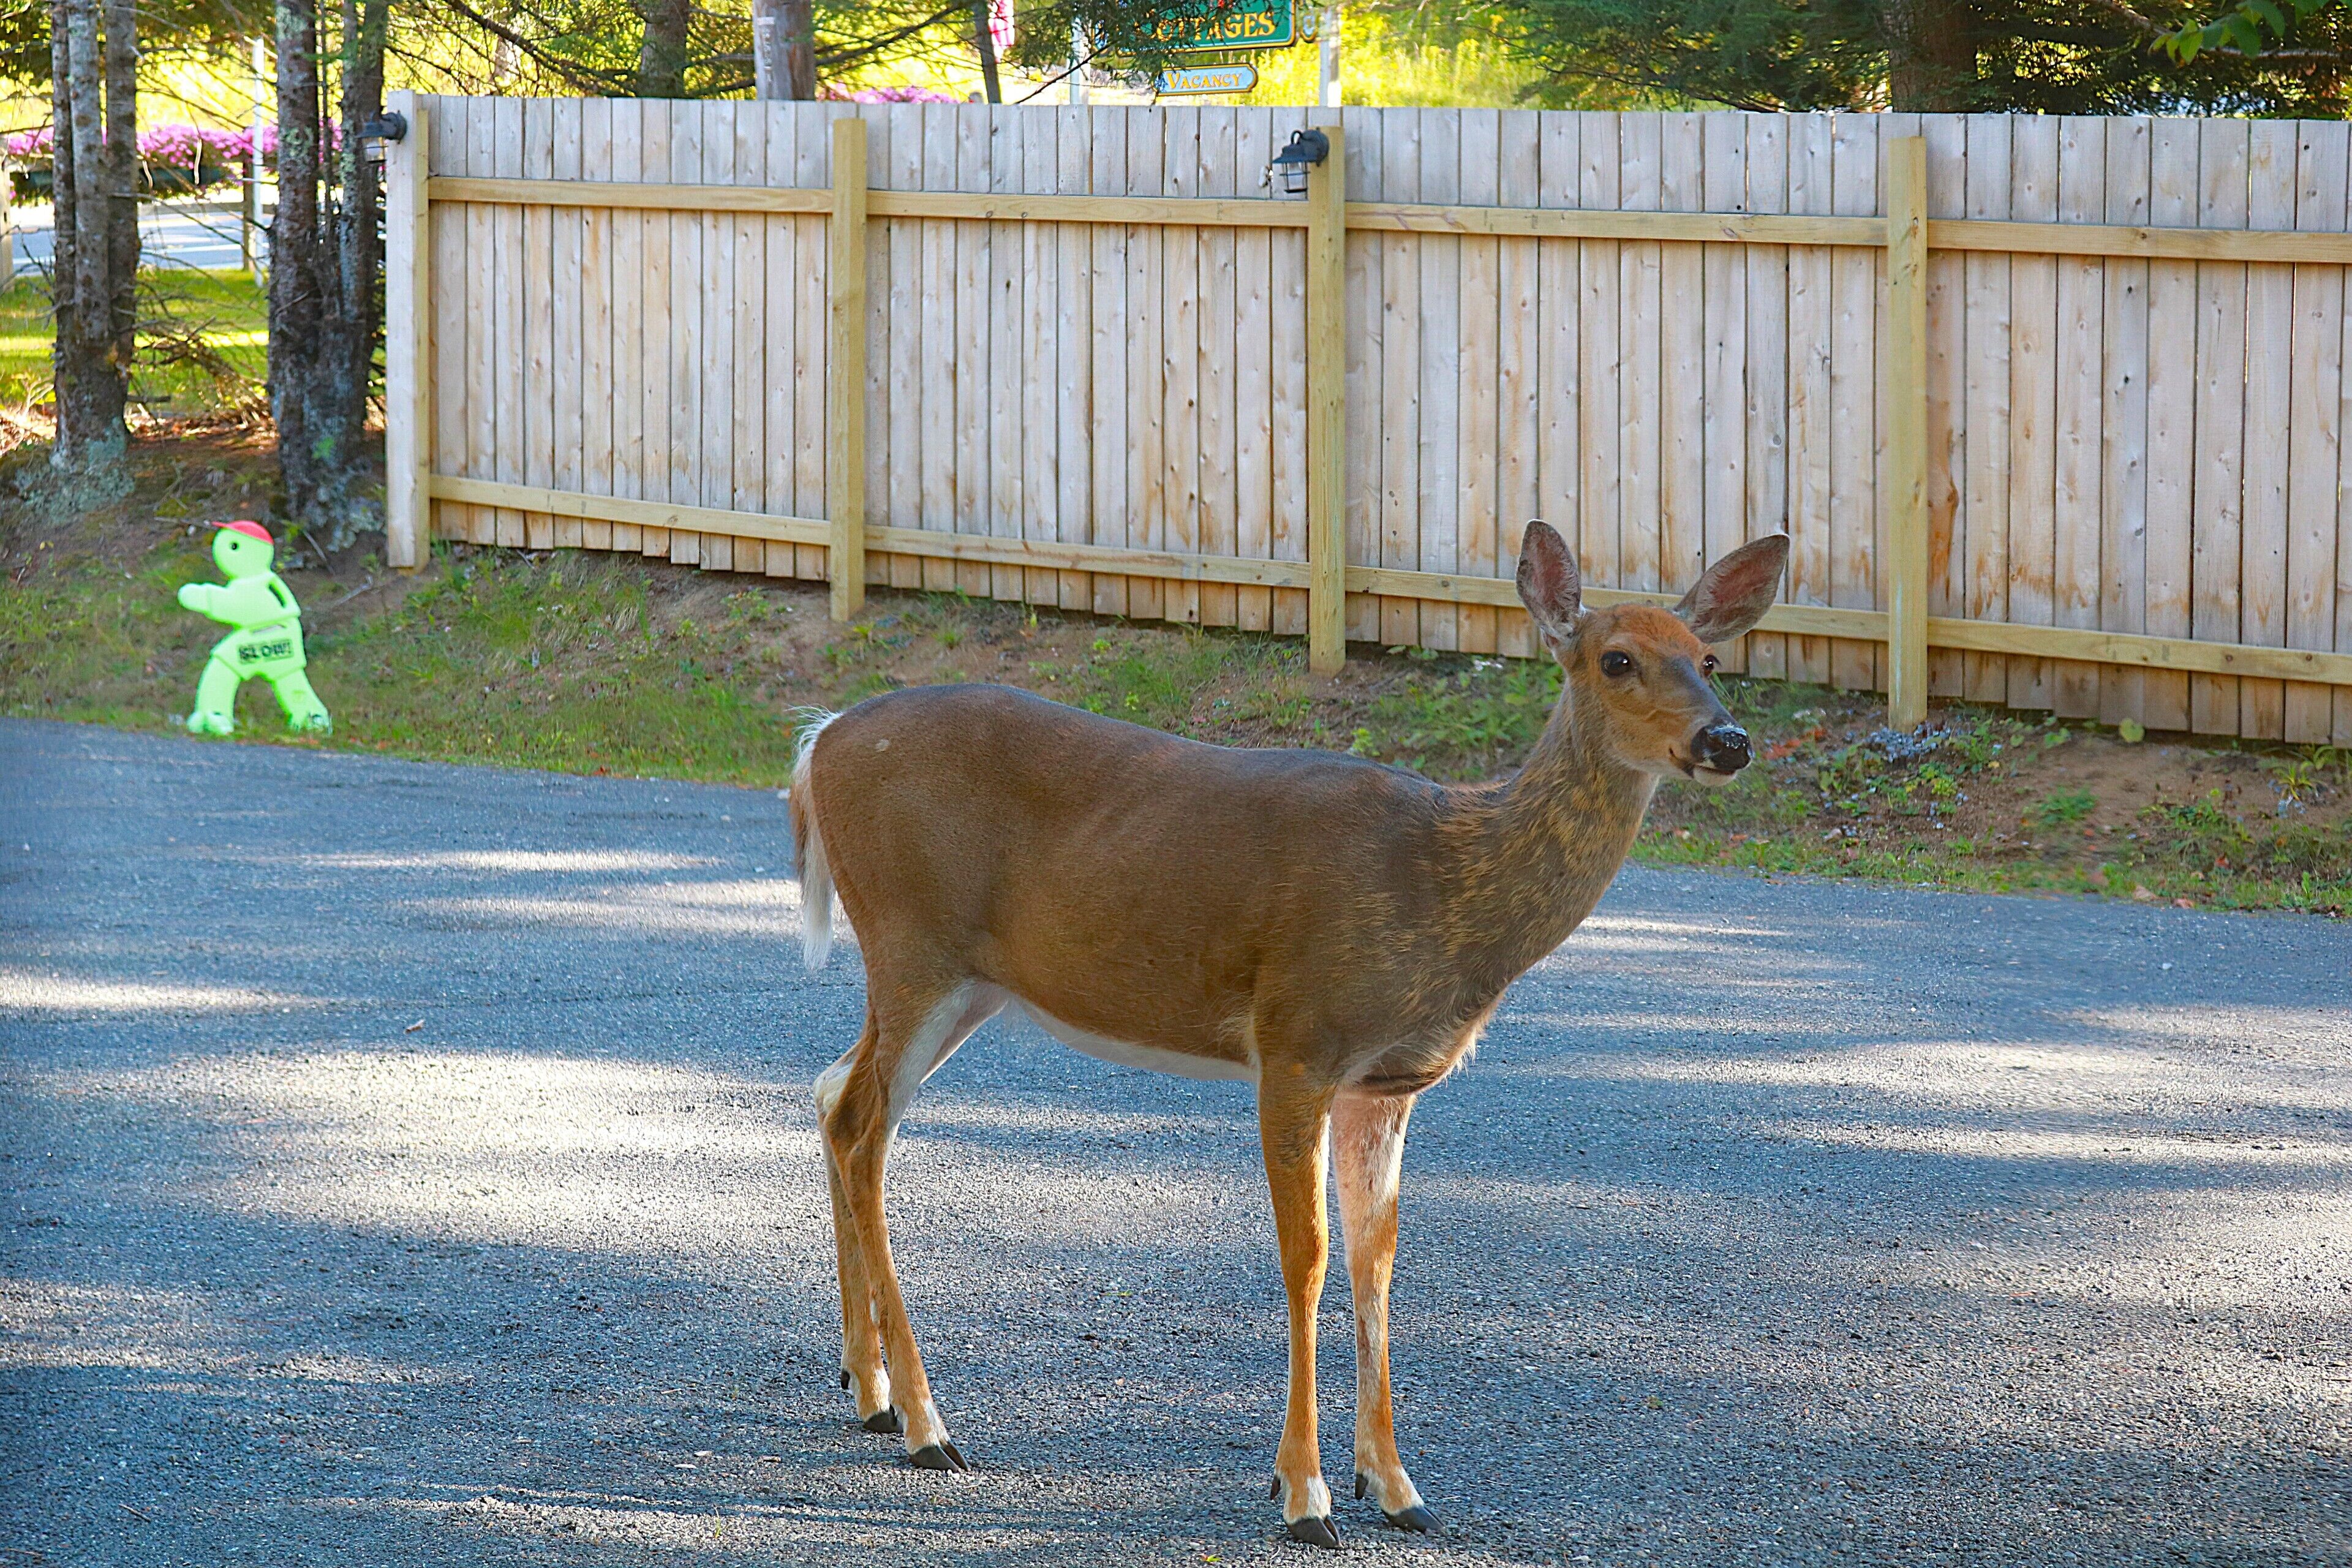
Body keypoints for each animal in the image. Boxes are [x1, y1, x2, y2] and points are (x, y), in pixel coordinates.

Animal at [789, 522, 1789, 1547]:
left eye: (1711, 658)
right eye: (1616, 659)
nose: (1728, 739)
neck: (1440, 886)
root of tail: (819, 740)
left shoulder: (1384, 1083)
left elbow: (1375, 1263)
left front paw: (1394, 1486)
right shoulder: (1296, 1040)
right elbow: (1304, 1260)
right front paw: (1304, 1496)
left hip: (964, 980)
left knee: (836, 1094)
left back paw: (869, 1391)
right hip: (913, 941)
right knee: (864, 1126)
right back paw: (927, 1425)